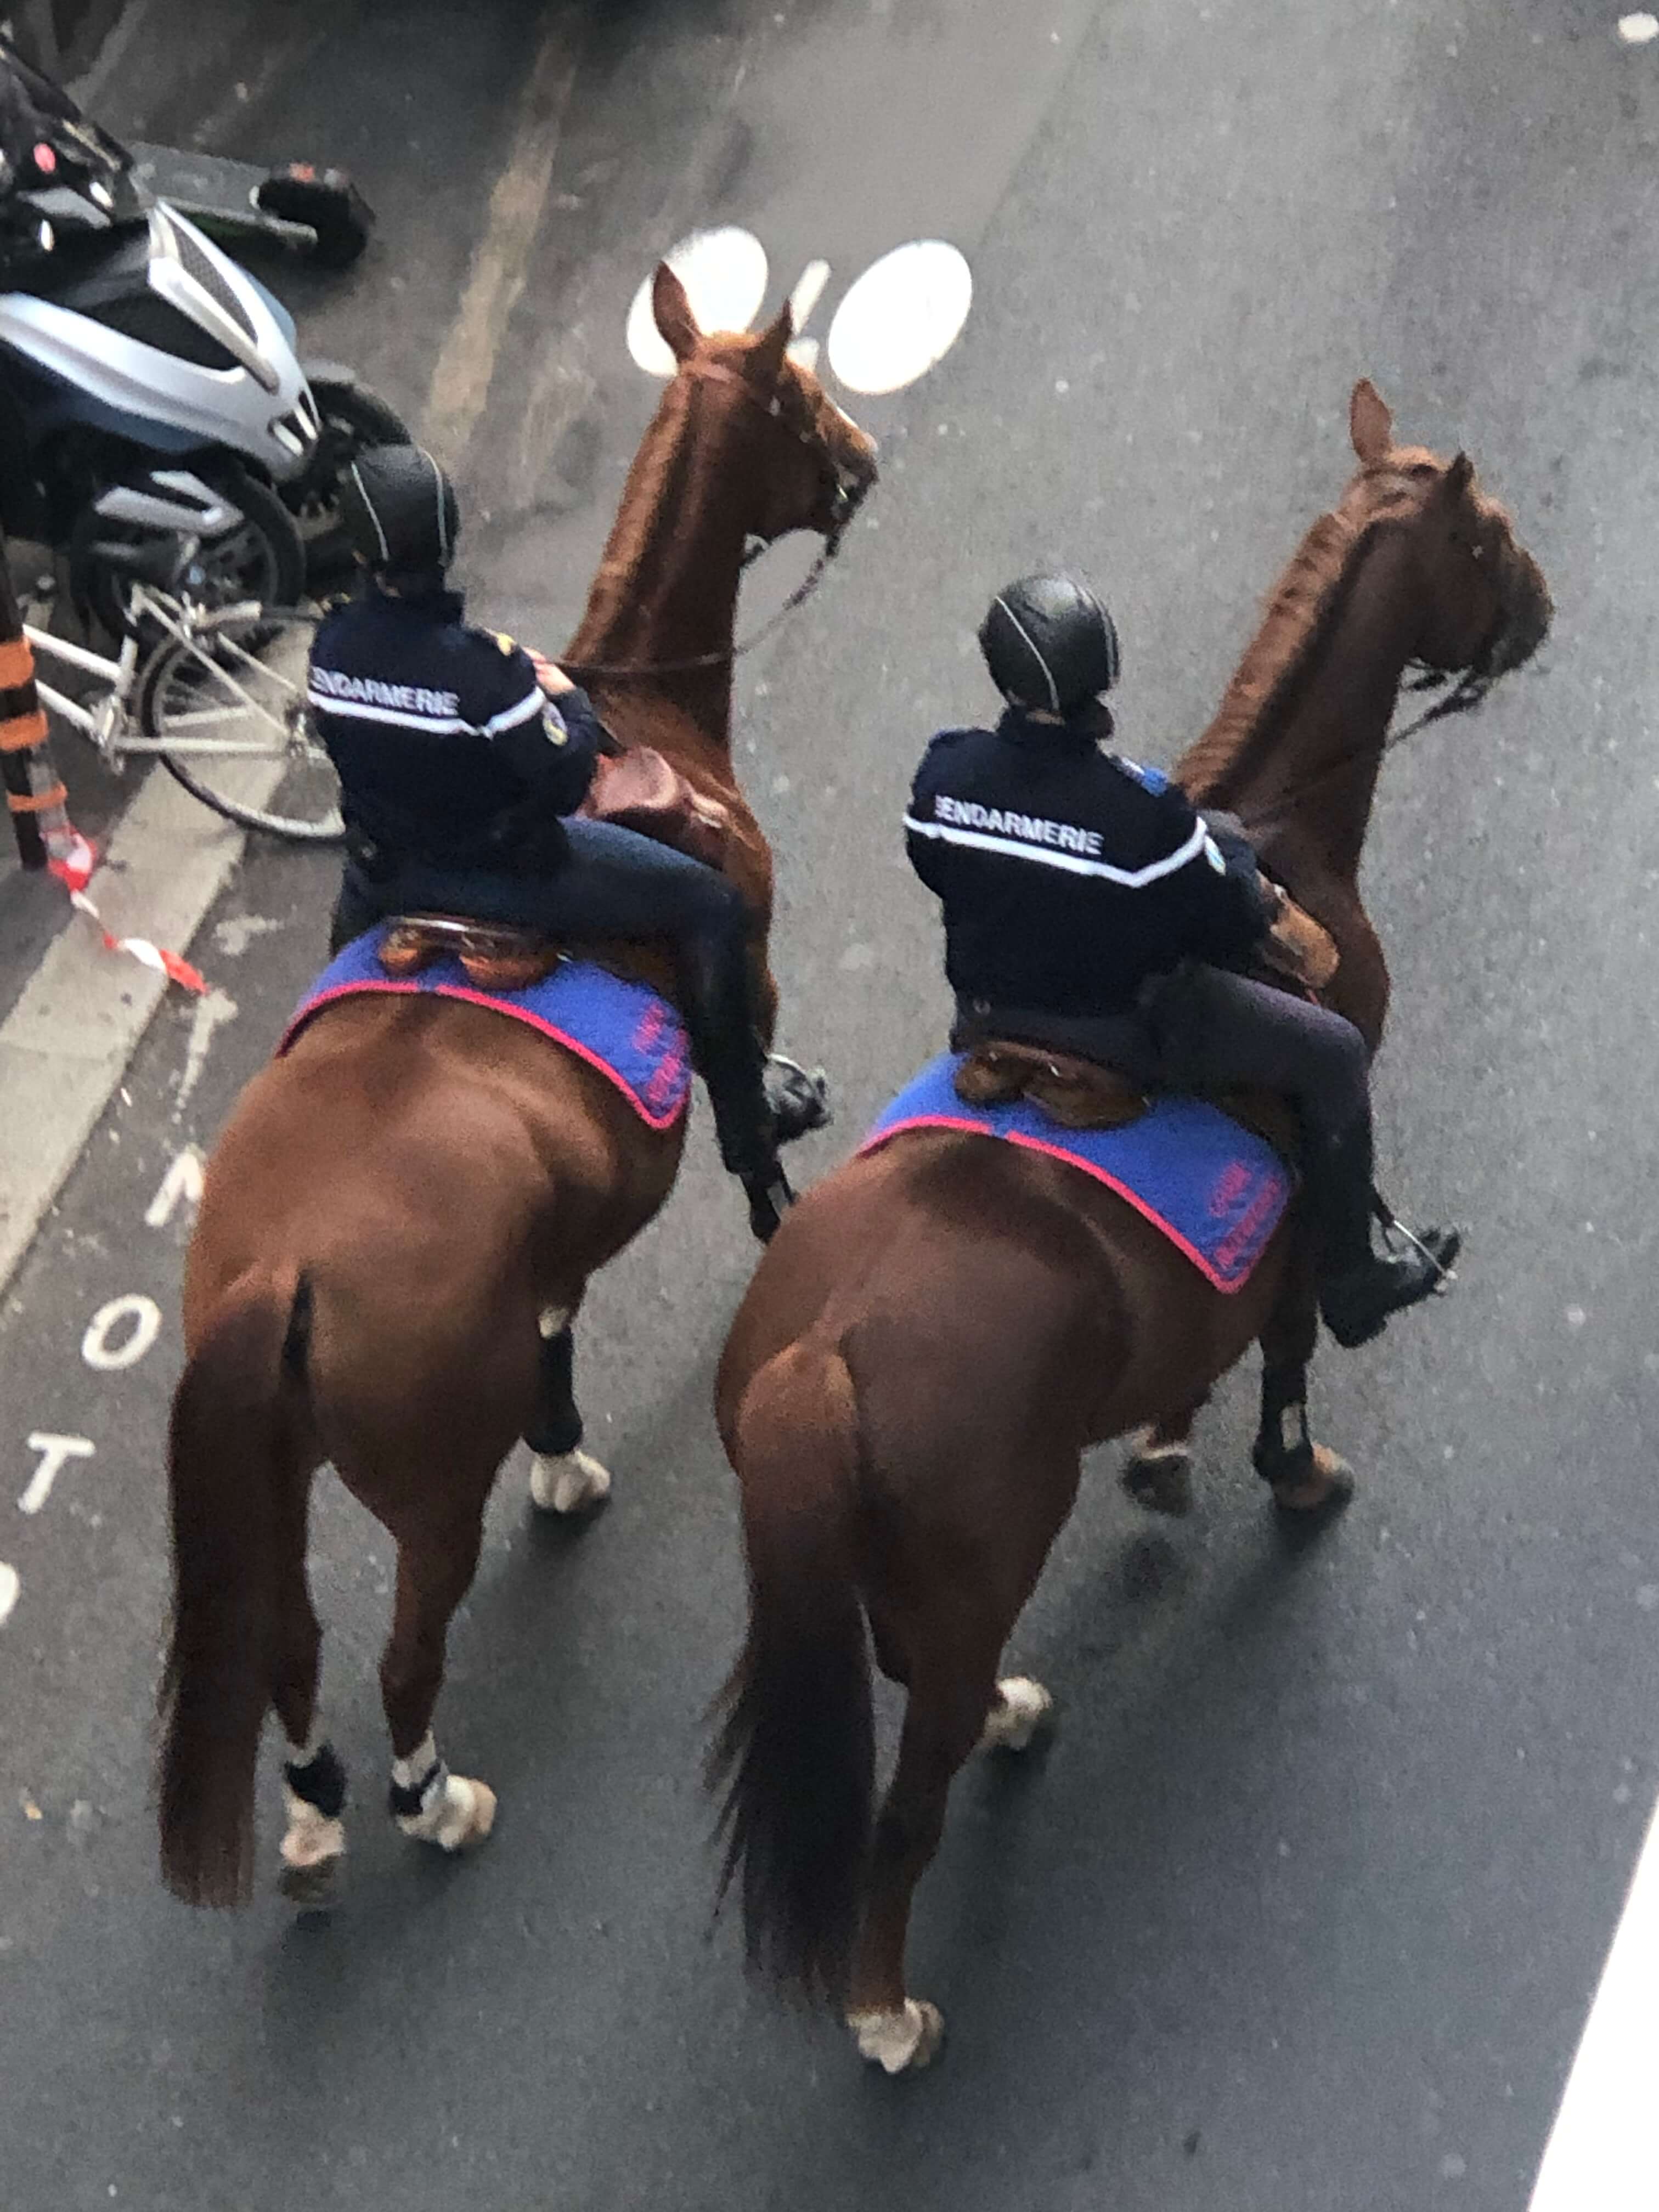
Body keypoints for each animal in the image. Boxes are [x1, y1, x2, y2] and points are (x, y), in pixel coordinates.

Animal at [159, 267, 884, 1911]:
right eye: (798, 396)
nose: (861, 460)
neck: (640, 723)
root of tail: (287, 1263)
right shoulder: (743, 965)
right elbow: (753, 1143)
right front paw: (781, 1177)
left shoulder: (548, 1246)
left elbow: (557, 1311)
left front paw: (561, 1452)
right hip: (428, 1495)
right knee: (400, 1659)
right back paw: (431, 1800)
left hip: (281, 1485)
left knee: (290, 1655)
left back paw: (317, 1804)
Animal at [712, 385, 1557, 2070]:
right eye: (1485, 537)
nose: (1544, 607)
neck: (1276, 830)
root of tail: (818, 1354)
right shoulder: (1314, 1142)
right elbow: (1294, 1336)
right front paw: (1287, 1467)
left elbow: (1211, 1340)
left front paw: (1168, 1447)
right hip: (974, 1572)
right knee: (908, 1809)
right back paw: (887, 2008)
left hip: (906, 1581)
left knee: (925, 1683)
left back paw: (1014, 1714)